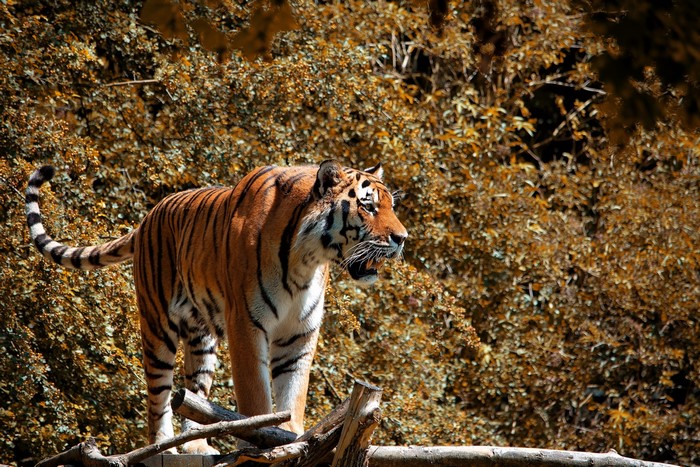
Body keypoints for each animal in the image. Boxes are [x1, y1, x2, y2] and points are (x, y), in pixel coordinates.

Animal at [25, 160, 407, 454]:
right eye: (368, 206)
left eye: (391, 206)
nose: (402, 238)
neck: (307, 259)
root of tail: (147, 218)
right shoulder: (247, 325)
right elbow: (256, 396)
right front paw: (260, 442)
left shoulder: (299, 333)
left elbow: (293, 391)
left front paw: (293, 437)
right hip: (157, 327)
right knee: (158, 395)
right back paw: (161, 446)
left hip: (202, 339)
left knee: (193, 394)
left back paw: (196, 445)